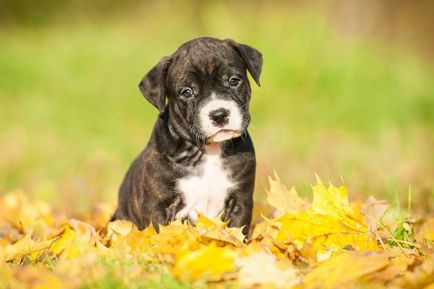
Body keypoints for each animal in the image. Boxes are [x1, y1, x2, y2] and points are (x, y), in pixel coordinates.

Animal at [111, 36, 262, 234]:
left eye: (234, 80)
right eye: (187, 92)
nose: (219, 114)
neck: (208, 149)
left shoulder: (240, 202)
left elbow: (236, 232)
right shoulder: (157, 207)